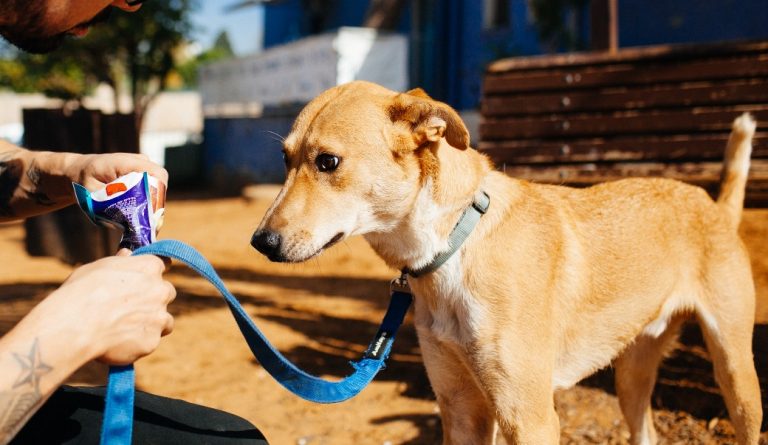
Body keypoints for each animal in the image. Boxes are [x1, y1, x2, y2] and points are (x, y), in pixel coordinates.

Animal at [254, 80, 760, 444]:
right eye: (284, 159)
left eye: (328, 162)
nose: (261, 241)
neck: (454, 247)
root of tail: (715, 205)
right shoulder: (462, 408)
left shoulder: (529, 417)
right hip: (632, 376)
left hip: (735, 373)